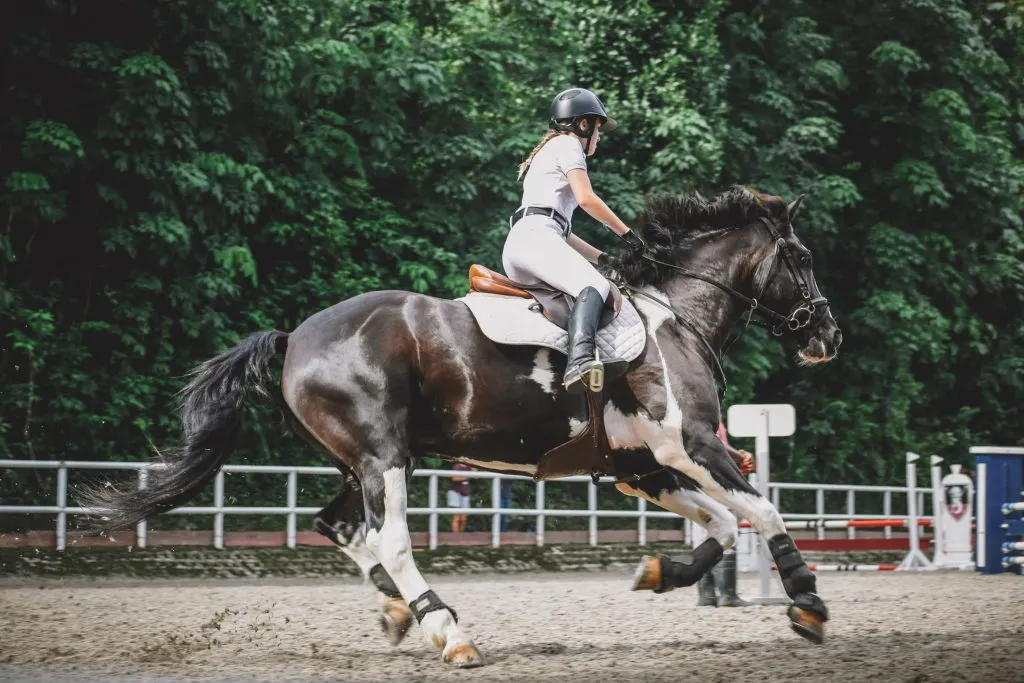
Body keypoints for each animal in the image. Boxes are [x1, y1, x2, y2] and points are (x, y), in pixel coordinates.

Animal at [81, 189, 839, 671]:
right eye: (801, 259)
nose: (828, 337)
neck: (675, 315)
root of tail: (294, 336)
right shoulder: (691, 444)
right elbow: (764, 510)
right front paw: (807, 604)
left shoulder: (643, 467)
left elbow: (722, 525)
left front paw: (660, 572)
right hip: (385, 456)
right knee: (386, 537)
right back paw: (448, 631)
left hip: (359, 461)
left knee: (338, 527)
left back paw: (401, 611)